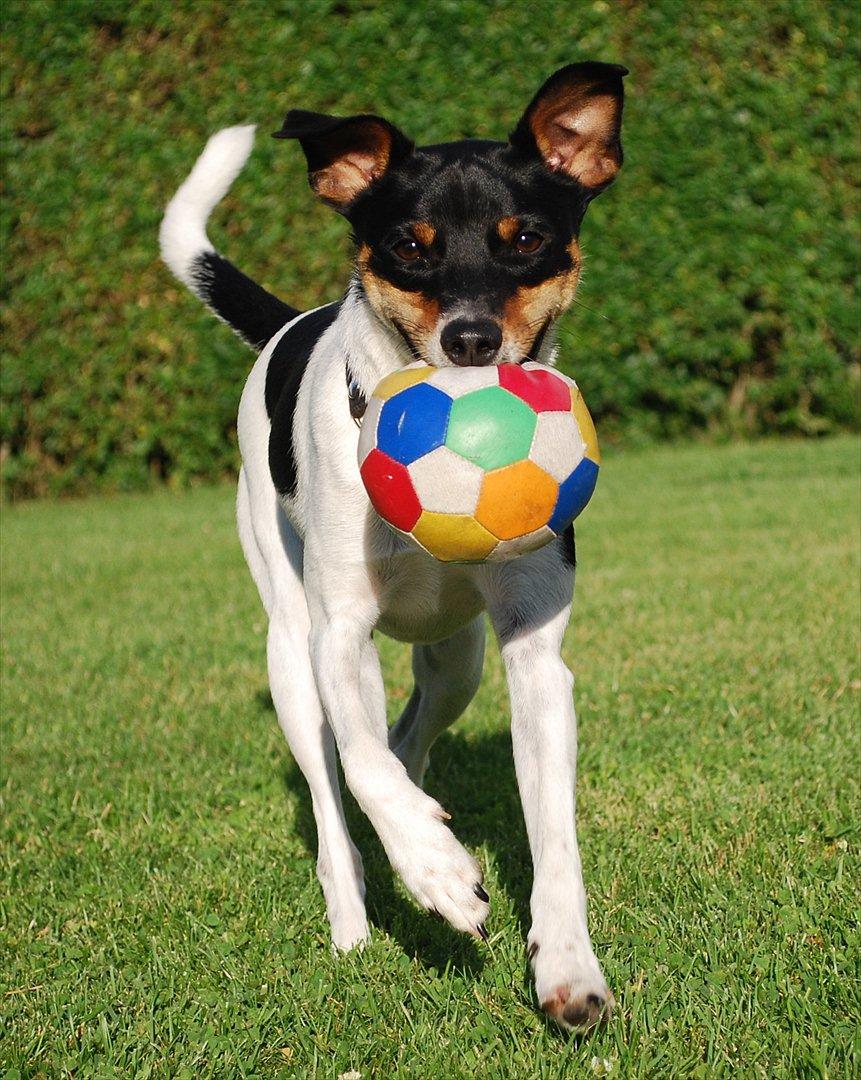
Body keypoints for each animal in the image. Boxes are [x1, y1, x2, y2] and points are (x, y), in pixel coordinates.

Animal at [159, 61, 626, 1028]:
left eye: (526, 239)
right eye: (409, 246)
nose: (471, 340)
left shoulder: (533, 652)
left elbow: (551, 832)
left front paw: (567, 966)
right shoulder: (336, 632)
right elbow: (363, 768)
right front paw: (439, 874)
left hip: (459, 661)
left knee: (405, 738)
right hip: (286, 645)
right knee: (338, 783)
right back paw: (359, 914)